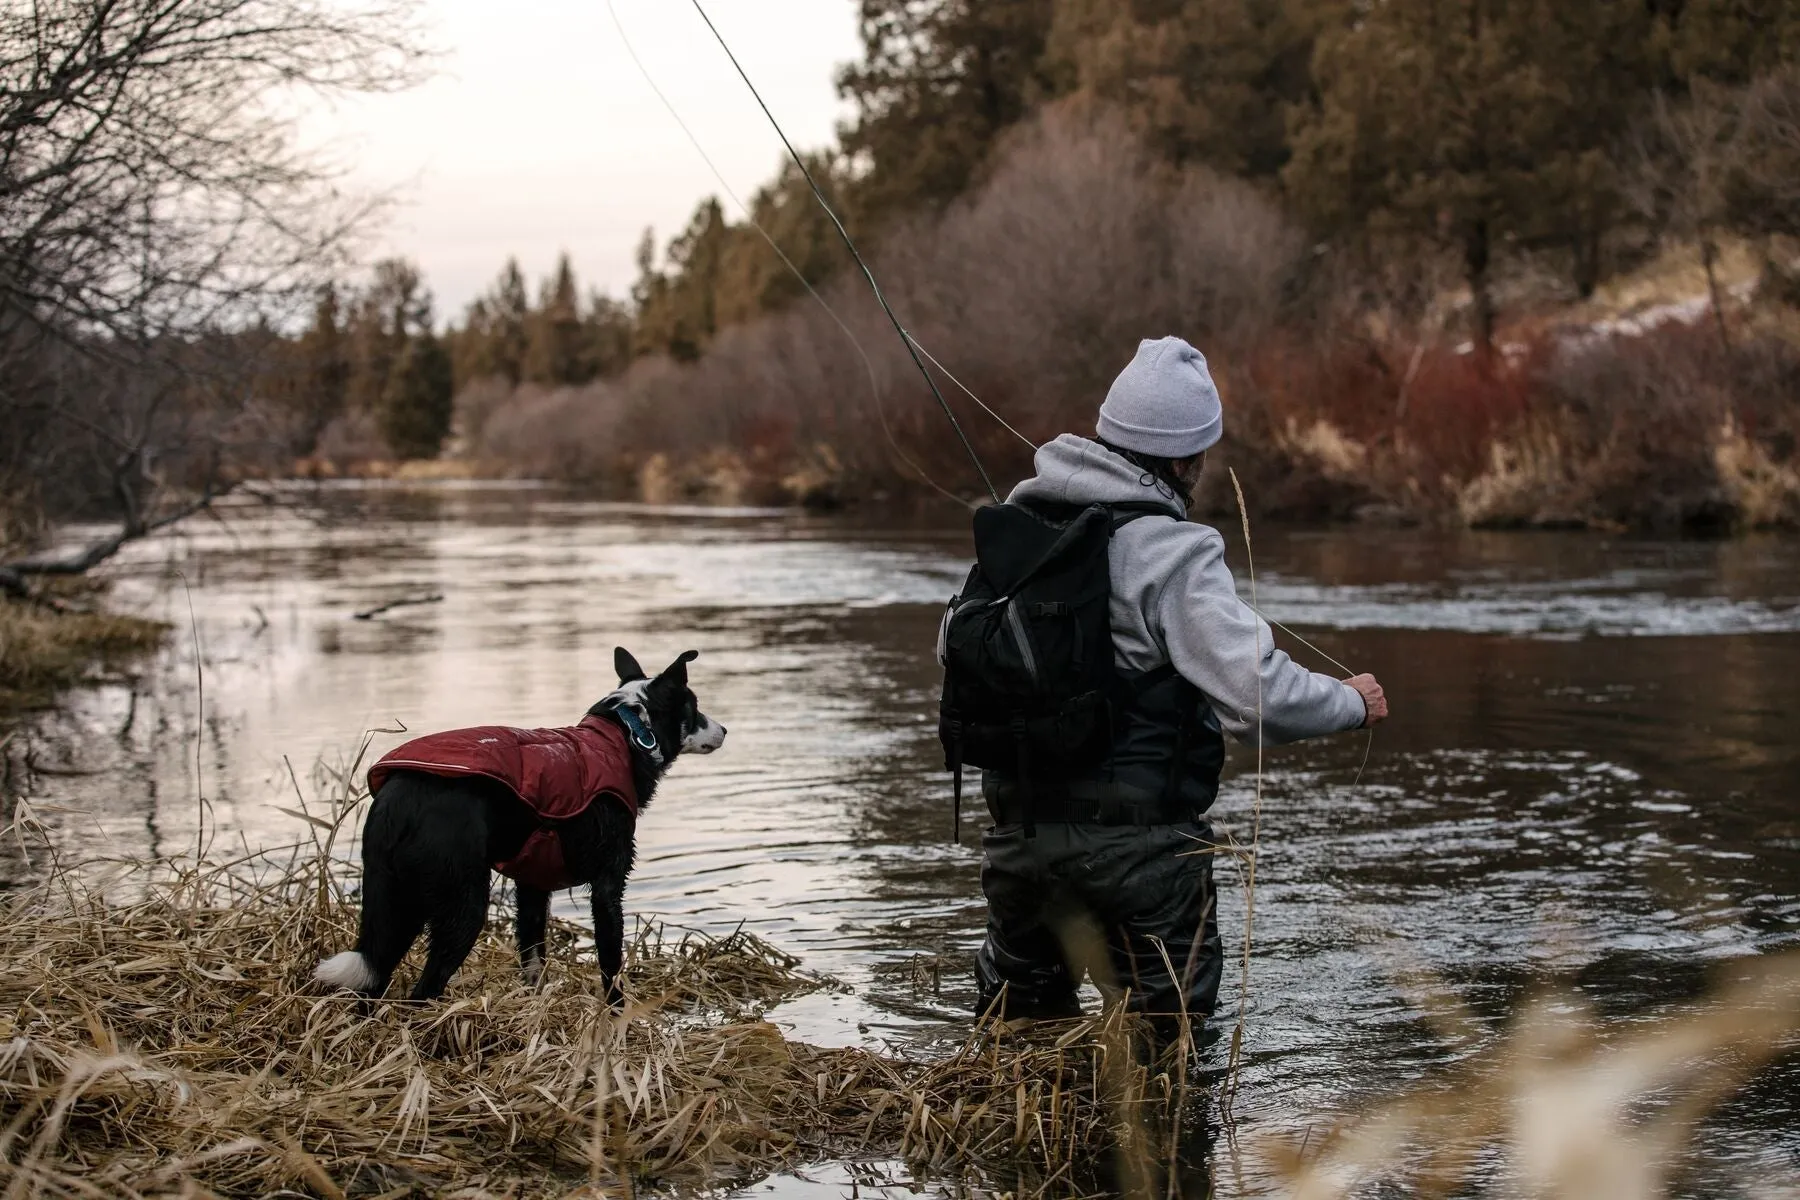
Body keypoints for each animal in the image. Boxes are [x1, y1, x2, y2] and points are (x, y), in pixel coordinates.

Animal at [316, 651, 723, 1000]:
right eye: (694, 708)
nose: (724, 730)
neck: (626, 733)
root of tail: (399, 800)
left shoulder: (532, 887)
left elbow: (532, 960)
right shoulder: (607, 887)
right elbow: (611, 966)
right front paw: (617, 1018)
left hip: (394, 902)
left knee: (373, 981)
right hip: (462, 905)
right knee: (423, 990)